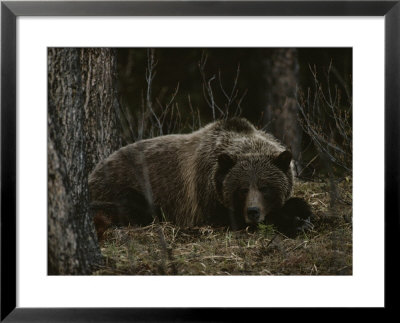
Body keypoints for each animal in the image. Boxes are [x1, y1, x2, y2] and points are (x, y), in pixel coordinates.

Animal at [90, 118, 312, 238]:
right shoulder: (205, 195)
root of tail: (93, 171)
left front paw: (301, 212)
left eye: (265, 187)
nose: (253, 211)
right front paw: (293, 223)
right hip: (122, 186)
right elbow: (229, 218)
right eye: (242, 189)